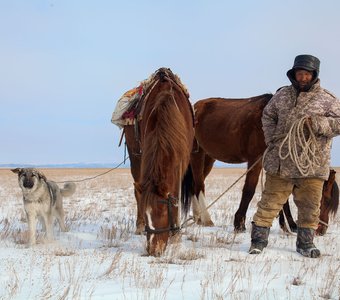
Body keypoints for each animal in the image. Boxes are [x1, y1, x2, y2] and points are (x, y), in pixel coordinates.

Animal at [124, 68, 194, 255]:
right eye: (147, 214)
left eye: (162, 212)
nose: (153, 250)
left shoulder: (181, 162)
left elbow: (175, 195)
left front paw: (176, 234)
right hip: (135, 157)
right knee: (137, 189)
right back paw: (139, 226)